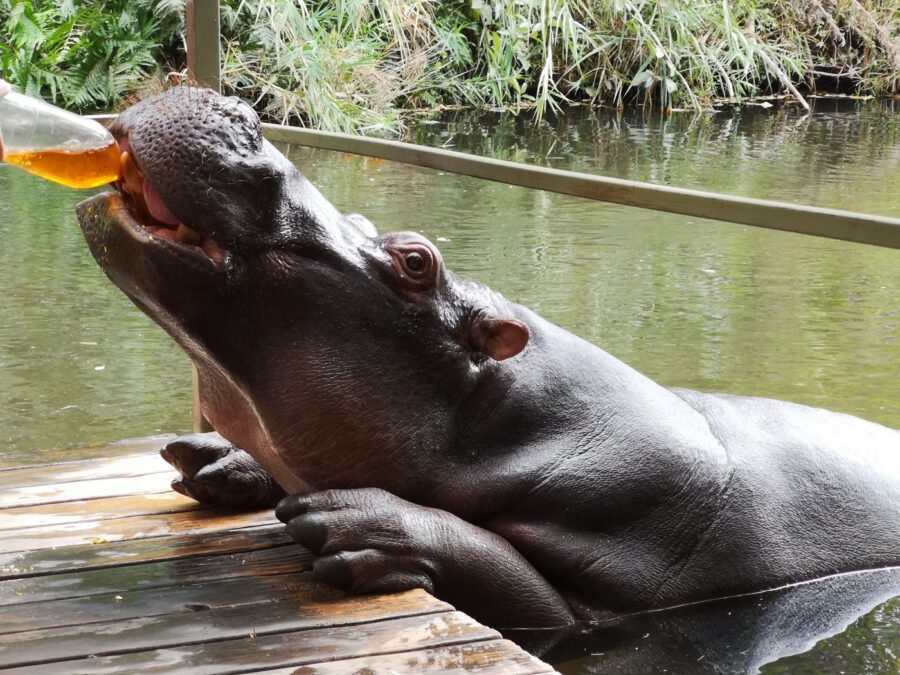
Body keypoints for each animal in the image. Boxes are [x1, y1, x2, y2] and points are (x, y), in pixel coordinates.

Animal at [74, 87, 896, 632]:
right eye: (370, 221)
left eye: (415, 261)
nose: (241, 111)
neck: (517, 423)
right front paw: (215, 459)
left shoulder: (624, 577)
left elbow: (519, 585)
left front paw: (360, 524)